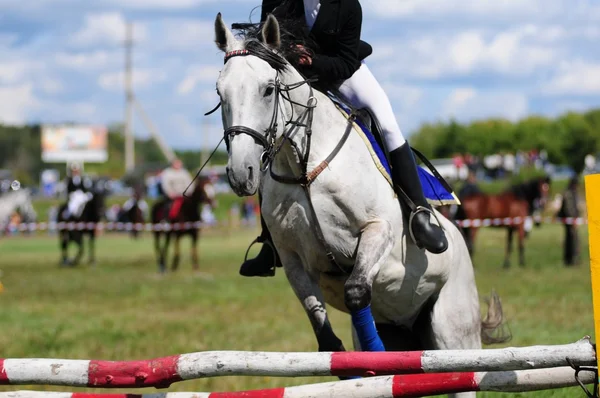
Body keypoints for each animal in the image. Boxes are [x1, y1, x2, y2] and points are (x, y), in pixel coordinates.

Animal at [216, 14, 506, 396]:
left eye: (267, 89)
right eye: (220, 93)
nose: (240, 173)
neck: (304, 167)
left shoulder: (377, 232)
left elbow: (356, 290)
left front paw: (372, 358)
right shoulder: (293, 259)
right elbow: (321, 323)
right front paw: (351, 365)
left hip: (453, 333)